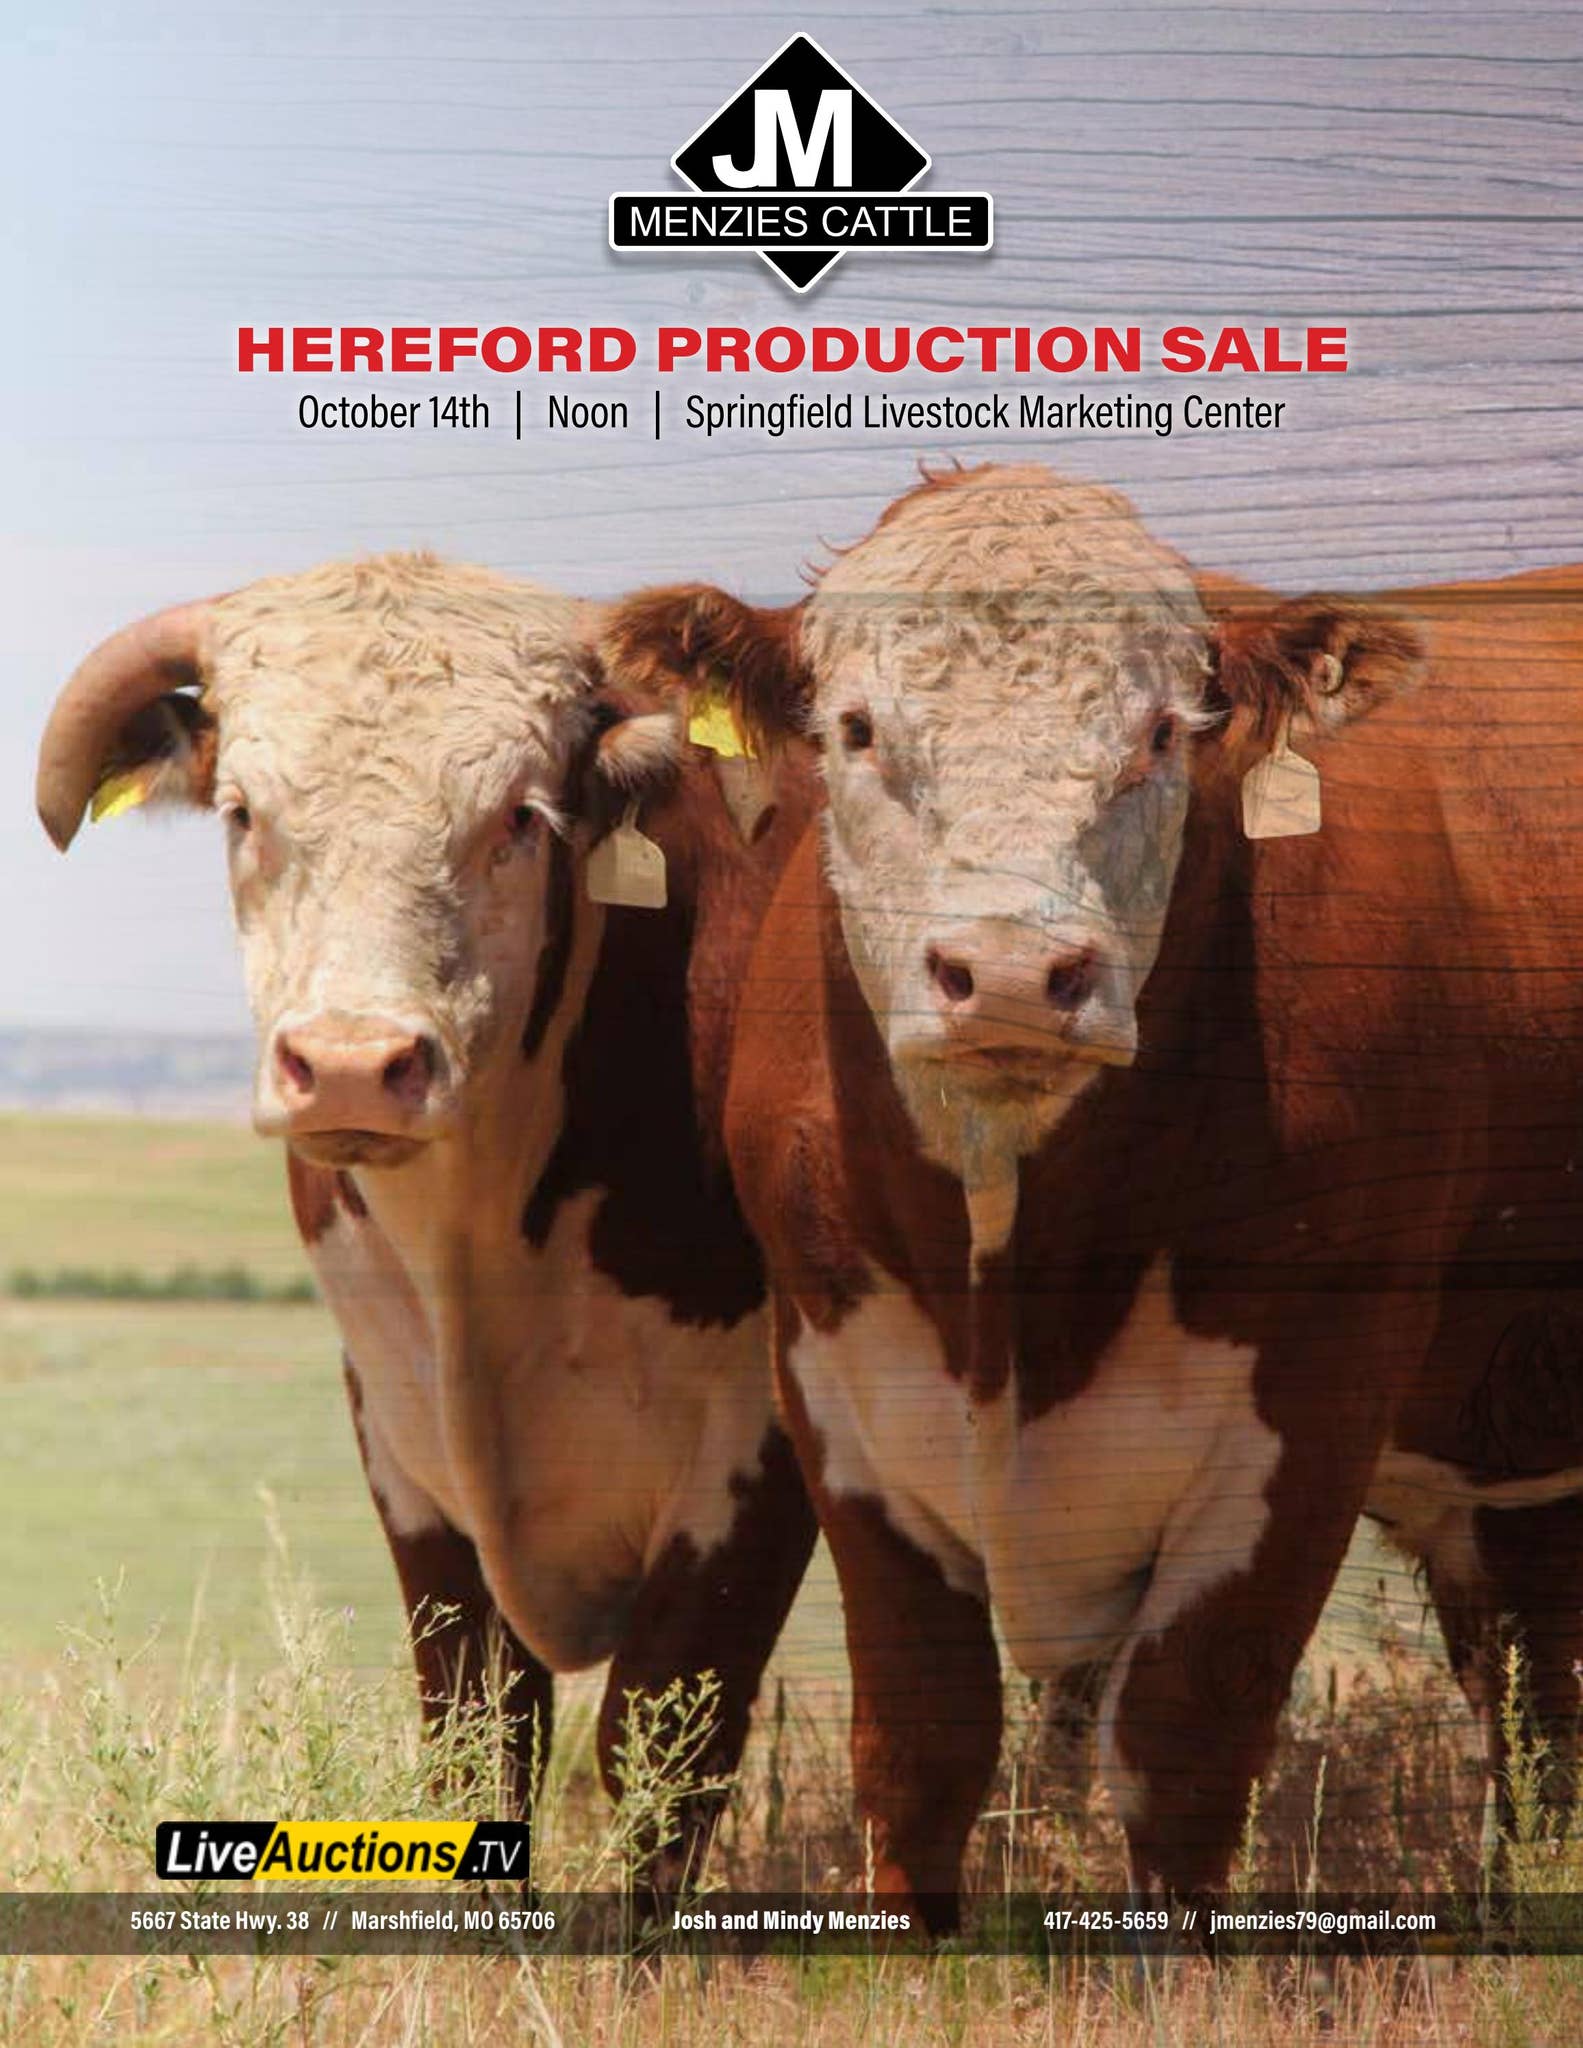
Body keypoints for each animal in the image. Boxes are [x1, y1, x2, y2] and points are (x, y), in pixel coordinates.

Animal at [35, 553, 819, 1895]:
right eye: (242, 812)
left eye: (518, 817)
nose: (352, 1065)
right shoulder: (404, 1442)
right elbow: (478, 1737)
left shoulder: (753, 1457)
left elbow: (662, 1755)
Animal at [613, 465, 1583, 1929]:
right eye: (855, 729)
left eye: (1163, 734)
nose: (1013, 976)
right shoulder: (838, 1394)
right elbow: (920, 1752)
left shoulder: (1308, 1410)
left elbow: (1178, 1764)